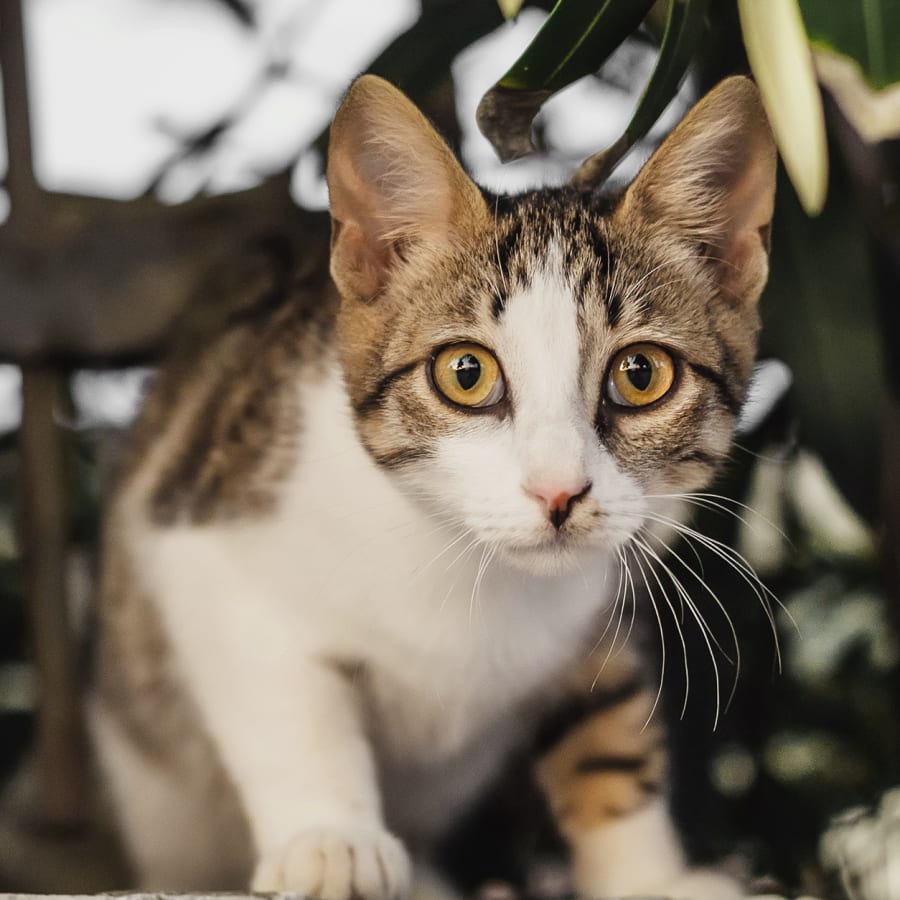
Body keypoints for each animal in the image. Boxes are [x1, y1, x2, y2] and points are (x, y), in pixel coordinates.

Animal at [89, 72, 772, 900]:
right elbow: (288, 702)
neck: (467, 565)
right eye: (465, 373)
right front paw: (331, 837)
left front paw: (647, 878)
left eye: (641, 375)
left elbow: (607, 727)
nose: (557, 492)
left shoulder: (610, 590)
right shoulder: (202, 541)